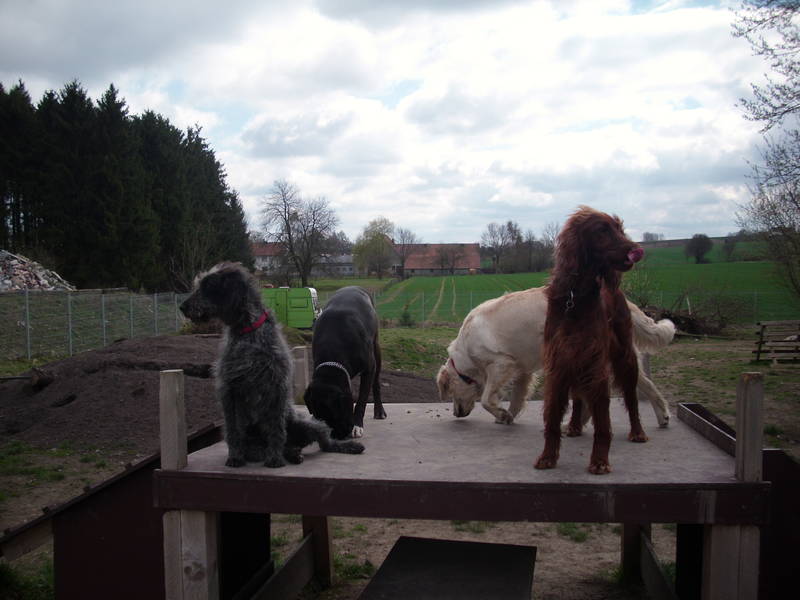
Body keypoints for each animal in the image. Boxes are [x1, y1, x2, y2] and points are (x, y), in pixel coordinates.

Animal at [180, 262, 364, 468]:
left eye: (209, 285)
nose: (183, 307)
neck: (248, 332)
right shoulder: (229, 390)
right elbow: (233, 430)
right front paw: (235, 457)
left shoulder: (275, 387)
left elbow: (276, 429)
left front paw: (274, 459)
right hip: (256, 446)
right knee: (284, 447)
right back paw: (292, 454)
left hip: (308, 424)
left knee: (324, 442)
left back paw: (341, 447)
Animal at [304, 286, 386, 439]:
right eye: (319, 416)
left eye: (334, 414)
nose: (338, 435)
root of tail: (356, 286)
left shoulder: (369, 368)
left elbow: (361, 400)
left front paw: (357, 425)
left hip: (376, 348)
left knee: (376, 383)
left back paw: (379, 411)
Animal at [436, 287, 674, 428]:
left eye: (450, 394)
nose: (456, 414)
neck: (466, 352)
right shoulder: (522, 369)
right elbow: (517, 397)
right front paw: (508, 416)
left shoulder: (501, 363)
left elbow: (486, 399)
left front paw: (501, 414)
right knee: (645, 385)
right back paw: (662, 417)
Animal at [535, 206, 646, 474]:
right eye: (602, 231)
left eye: (619, 228)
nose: (636, 249)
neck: (575, 296)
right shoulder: (559, 361)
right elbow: (552, 416)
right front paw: (548, 456)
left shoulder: (596, 364)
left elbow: (603, 423)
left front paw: (599, 461)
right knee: (577, 396)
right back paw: (574, 426)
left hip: (625, 357)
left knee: (632, 398)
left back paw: (637, 431)